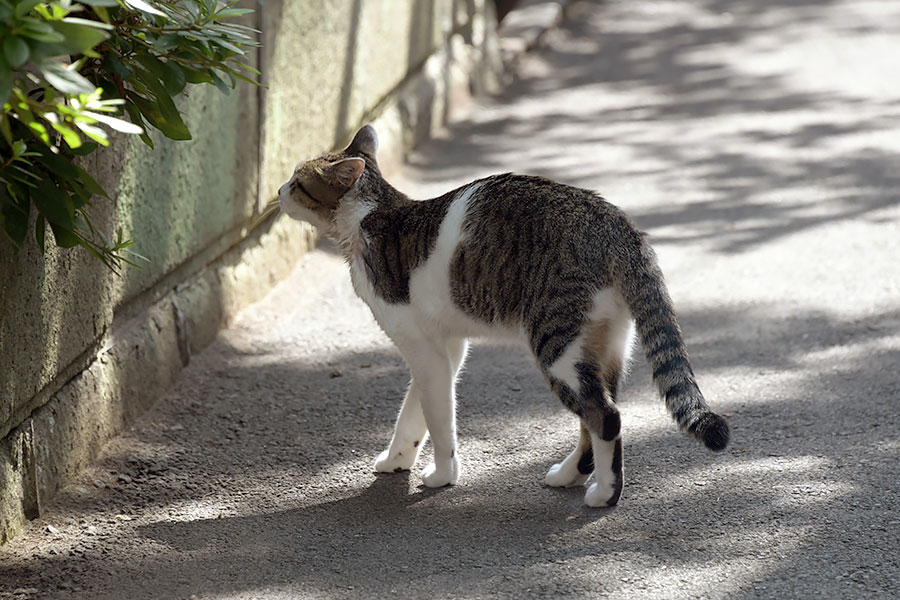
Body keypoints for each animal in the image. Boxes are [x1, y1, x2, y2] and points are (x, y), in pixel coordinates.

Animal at [278, 125, 728, 506]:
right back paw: (571, 475)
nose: (279, 189)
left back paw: (604, 495)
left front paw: (443, 475)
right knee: (595, 415)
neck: (369, 219)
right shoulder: (445, 348)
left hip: (557, 345)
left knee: (606, 416)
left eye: (299, 182)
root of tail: (615, 224)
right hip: (604, 344)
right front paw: (397, 459)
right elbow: (414, 411)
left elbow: (439, 419)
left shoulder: (425, 349)